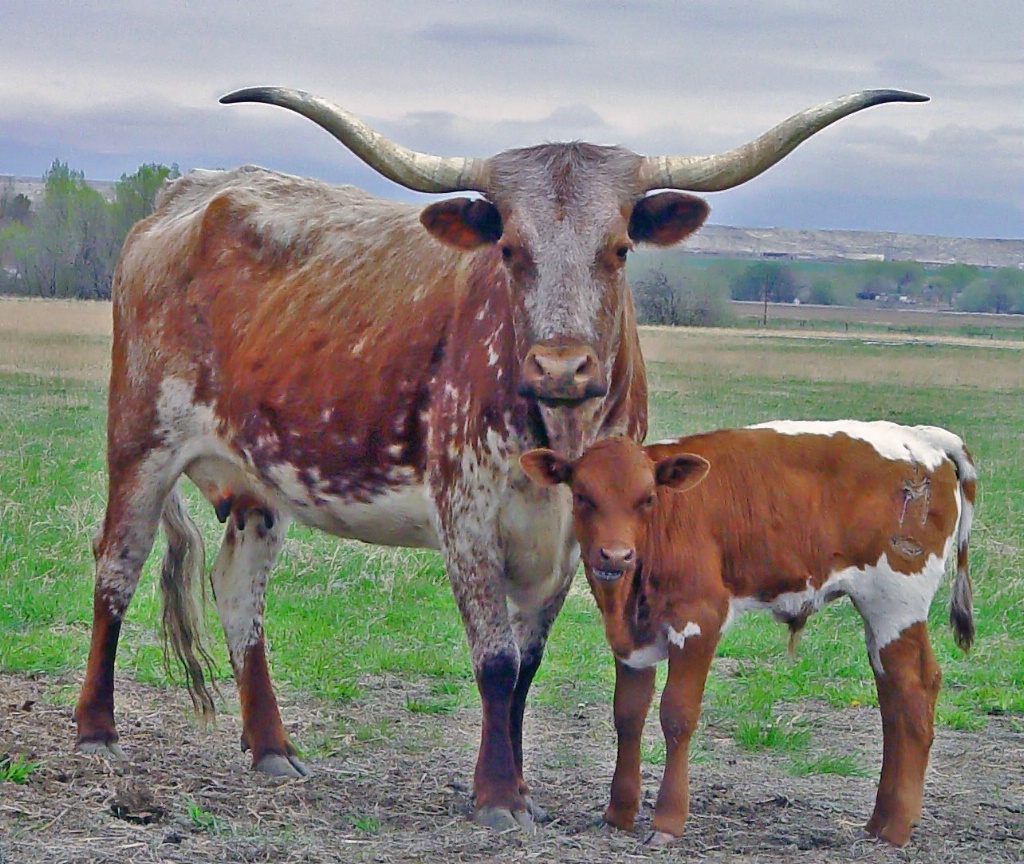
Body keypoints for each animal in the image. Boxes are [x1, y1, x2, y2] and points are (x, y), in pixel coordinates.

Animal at [74, 87, 929, 831]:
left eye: (620, 247)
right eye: (511, 249)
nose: (560, 366)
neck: (558, 434)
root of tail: (189, 192)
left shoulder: (578, 538)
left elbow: (526, 668)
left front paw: (519, 788)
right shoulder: (469, 519)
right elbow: (493, 663)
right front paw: (493, 798)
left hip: (258, 484)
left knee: (237, 591)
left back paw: (272, 746)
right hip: (140, 442)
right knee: (116, 569)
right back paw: (96, 729)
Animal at [520, 421, 974, 847]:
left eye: (647, 498)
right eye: (582, 496)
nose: (615, 555)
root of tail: (922, 437)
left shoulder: (700, 620)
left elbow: (677, 715)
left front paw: (668, 821)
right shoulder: (631, 639)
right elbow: (628, 714)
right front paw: (619, 813)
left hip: (896, 603)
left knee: (914, 692)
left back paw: (896, 826)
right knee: (893, 699)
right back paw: (880, 820)